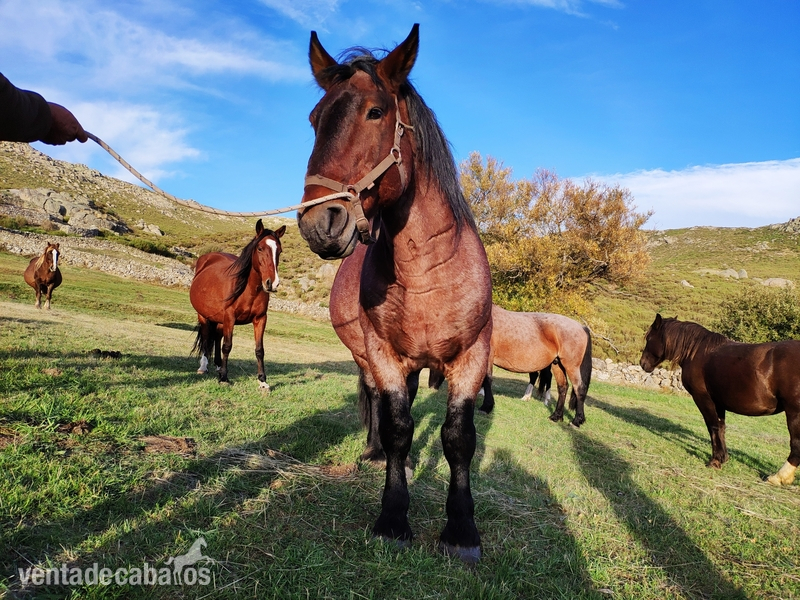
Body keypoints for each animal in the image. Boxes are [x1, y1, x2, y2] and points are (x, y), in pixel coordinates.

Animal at [189, 219, 285, 389]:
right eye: (260, 248)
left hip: (219, 320)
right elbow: (227, 346)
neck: (248, 289)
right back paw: (204, 367)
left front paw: (262, 381)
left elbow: (259, 350)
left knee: (217, 337)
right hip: (204, 316)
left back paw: (218, 365)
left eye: (279, 251)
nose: (272, 283)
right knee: (207, 338)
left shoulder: (260, 319)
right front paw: (224, 378)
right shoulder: (230, 317)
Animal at [298, 25, 492, 564]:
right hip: (369, 358)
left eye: (375, 112)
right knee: (377, 405)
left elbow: (458, 438)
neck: (426, 274)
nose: (321, 222)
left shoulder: (472, 358)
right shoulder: (383, 354)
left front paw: (461, 529)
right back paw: (374, 452)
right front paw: (392, 516)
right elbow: (398, 428)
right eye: (315, 119)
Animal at [640, 314, 800, 486]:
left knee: (796, 444)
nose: (643, 364)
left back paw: (779, 477)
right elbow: (721, 428)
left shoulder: (703, 399)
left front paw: (715, 461)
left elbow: (713, 427)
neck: (697, 352)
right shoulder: (719, 403)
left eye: (649, 338)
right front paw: (723, 458)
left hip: (794, 413)